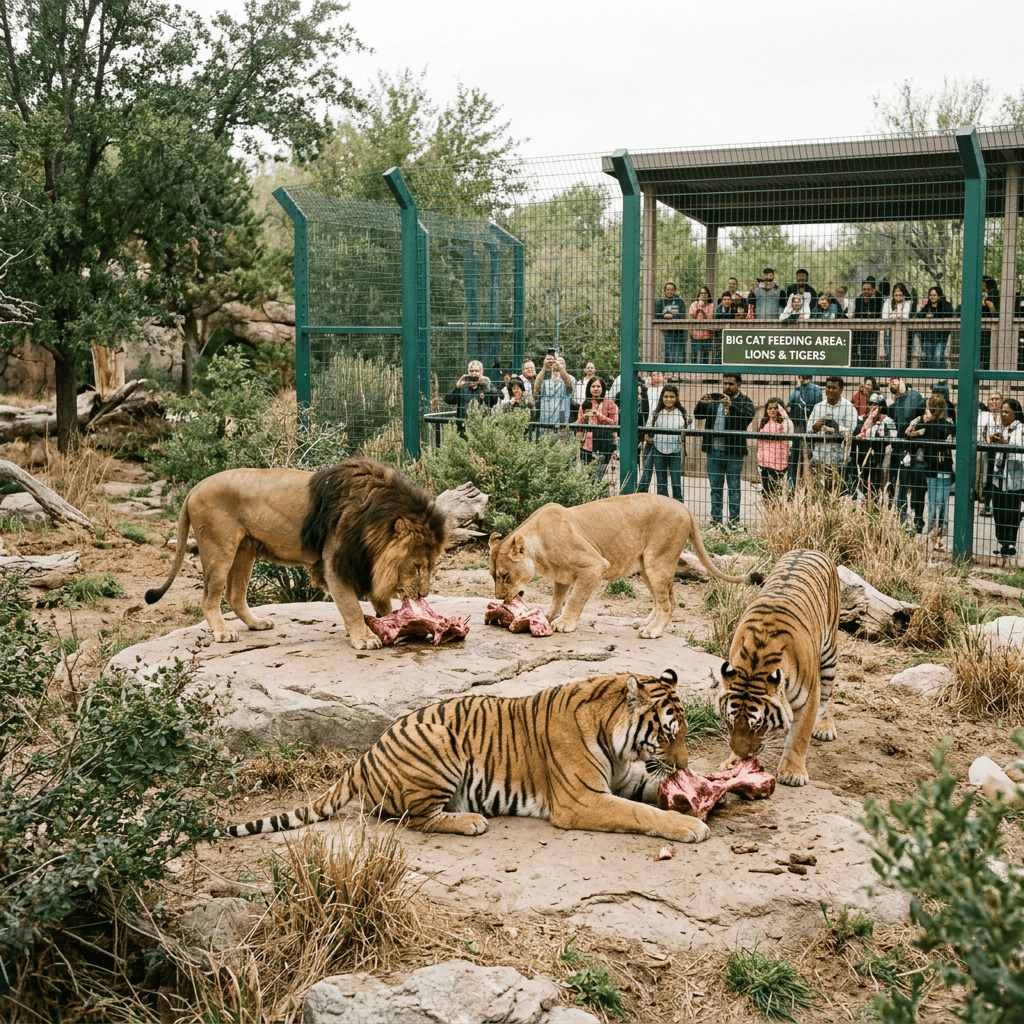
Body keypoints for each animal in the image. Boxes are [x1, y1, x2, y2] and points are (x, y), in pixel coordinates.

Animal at [145, 458, 449, 650]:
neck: (374, 515)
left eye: (432, 566)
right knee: (209, 597)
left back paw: (257, 623)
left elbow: (381, 602)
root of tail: (194, 488)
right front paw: (364, 638)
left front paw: (396, 625)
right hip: (219, 549)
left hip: (245, 551)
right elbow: (350, 605)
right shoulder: (335, 562)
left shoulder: (365, 561)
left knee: (234, 595)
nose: (423, 594)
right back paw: (222, 632)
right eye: (417, 565)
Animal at [221, 670, 710, 844]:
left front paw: (705, 791)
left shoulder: (623, 779)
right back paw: (470, 821)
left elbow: (651, 790)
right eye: (668, 734)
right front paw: (689, 825)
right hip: (440, 746)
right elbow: (640, 813)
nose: (685, 765)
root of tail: (363, 757)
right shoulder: (583, 800)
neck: (615, 741)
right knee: (414, 819)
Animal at [489, 493, 760, 638]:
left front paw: (564, 623)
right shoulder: (562, 576)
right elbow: (558, 599)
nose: (500, 599)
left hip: (658, 561)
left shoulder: (594, 565)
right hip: (646, 566)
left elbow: (575, 599)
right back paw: (645, 623)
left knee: (668, 604)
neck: (539, 549)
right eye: (493, 576)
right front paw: (546, 616)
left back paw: (653, 631)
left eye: (505, 576)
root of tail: (684, 506)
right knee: (665, 600)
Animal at [715, 548, 840, 787]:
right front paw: (732, 761)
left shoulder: (809, 698)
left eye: (756, 726)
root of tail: (809, 549)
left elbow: (800, 736)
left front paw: (793, 773)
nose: (742, 755)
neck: (754, 664)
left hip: (829, 654)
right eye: (730, 721)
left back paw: (824, 727)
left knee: (828, 695)